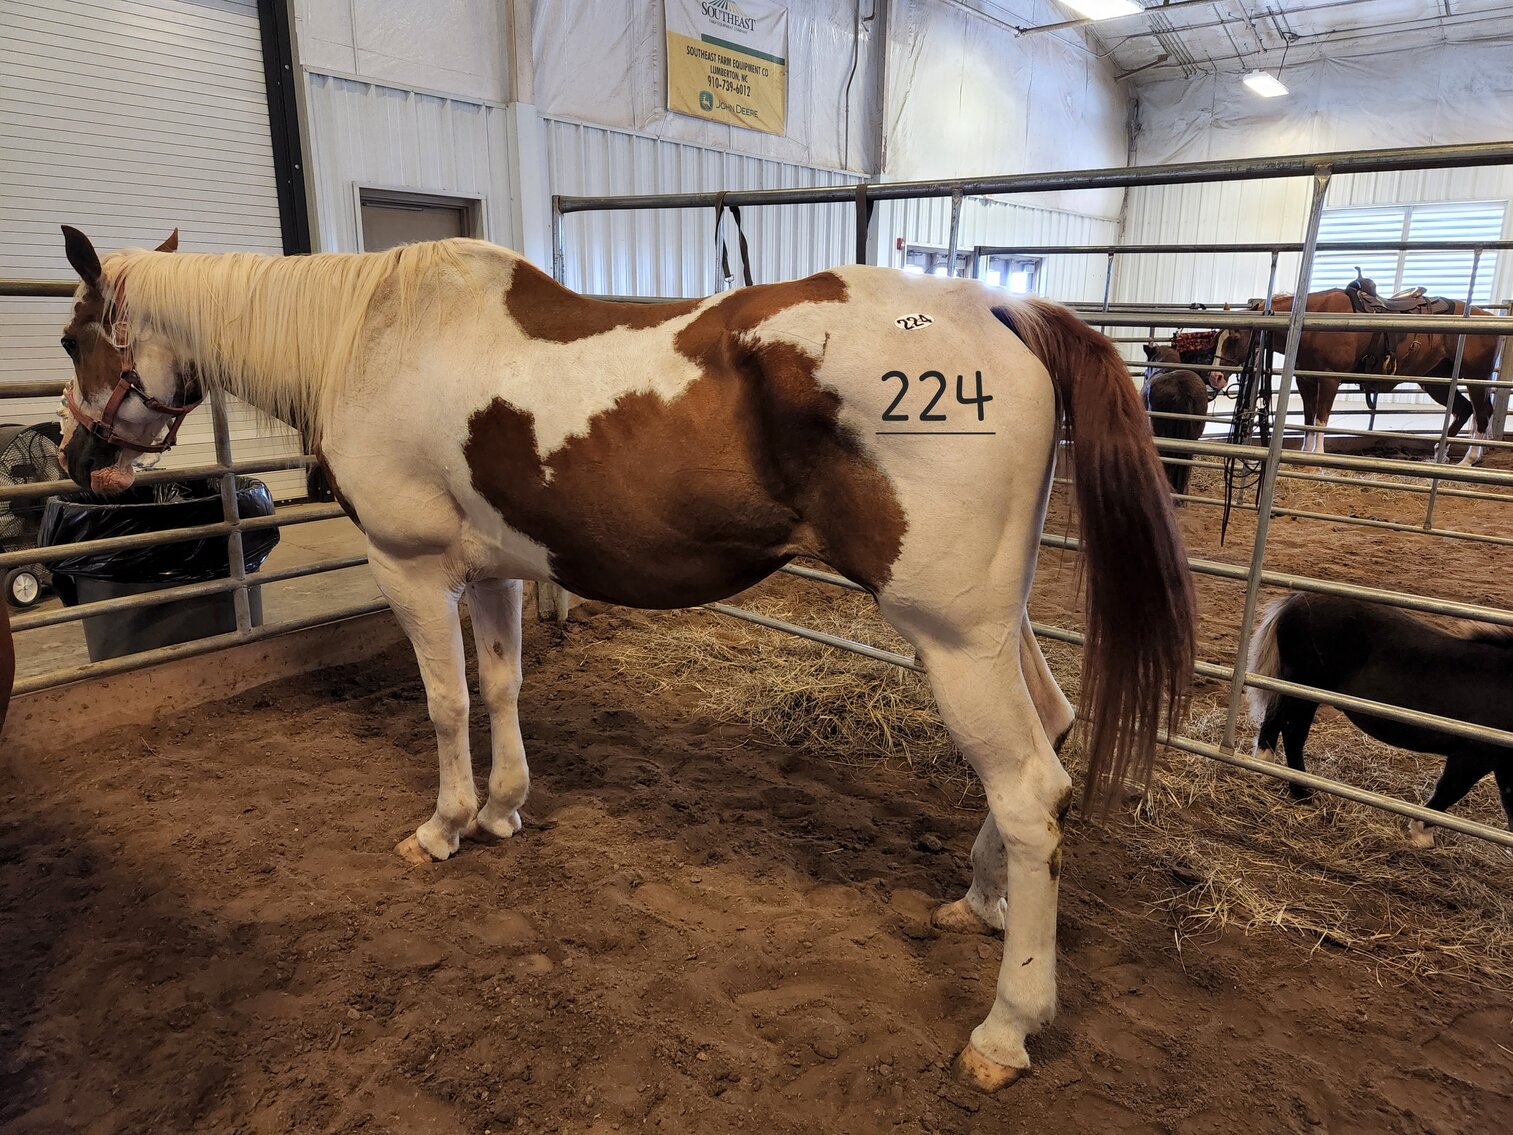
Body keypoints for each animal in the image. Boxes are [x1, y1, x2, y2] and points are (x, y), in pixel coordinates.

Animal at [54, 225, 1194, 1092]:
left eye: (72, 338)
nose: (77, 461)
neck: (371, 337)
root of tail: (998, 312)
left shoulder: (413, 572)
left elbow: (445, 705)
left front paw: (443, 827)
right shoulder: (495, 573)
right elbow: (503, 686)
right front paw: (504, 810)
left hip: (952, 637)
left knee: (1030, 791)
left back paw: (1007, 1024)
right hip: (993, 628)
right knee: (1049, 737)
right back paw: (982, 902)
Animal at [1213, 289, 1501, 465]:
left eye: (1235, 337)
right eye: (1217, 336)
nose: (1215, 377)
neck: (1312, 322)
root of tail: (1487, 316)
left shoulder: (1329, 380)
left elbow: (1320, 420)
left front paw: (1317, 457)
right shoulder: (1306, 381)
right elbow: (1308, 419)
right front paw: (1304, 453)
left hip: (1476, 378)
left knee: (1482, 414)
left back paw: (1469, 459)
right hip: (1435, 380)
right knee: (1465, 410)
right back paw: (1440, 453)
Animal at [1248, 592, 1512, 847]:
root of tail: (1296, 600)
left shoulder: (1502, 762)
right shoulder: (1473, 755)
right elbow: (1449, 790)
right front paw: (1422, 834)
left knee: (1277, 722)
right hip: (1304, 689)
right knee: (1291, 731)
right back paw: (1300, 791)